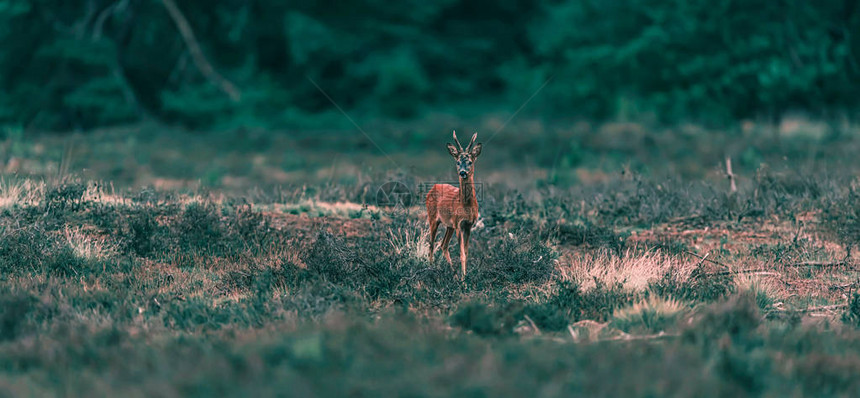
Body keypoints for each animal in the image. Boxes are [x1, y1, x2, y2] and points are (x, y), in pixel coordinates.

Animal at [424, 130, 480, 276]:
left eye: (470, 162)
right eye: (458, 162)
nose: (463, 172)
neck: (466, 206)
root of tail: (433, 187)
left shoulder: (469, 225)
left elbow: (466, 252)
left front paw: (465, 275)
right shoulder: (459, 224)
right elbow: (462, 254)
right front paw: (463, 279)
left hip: (449, 225)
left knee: (443, 245)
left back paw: (452, 272)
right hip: (433, 218)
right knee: (431, 244)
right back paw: (431, 269)